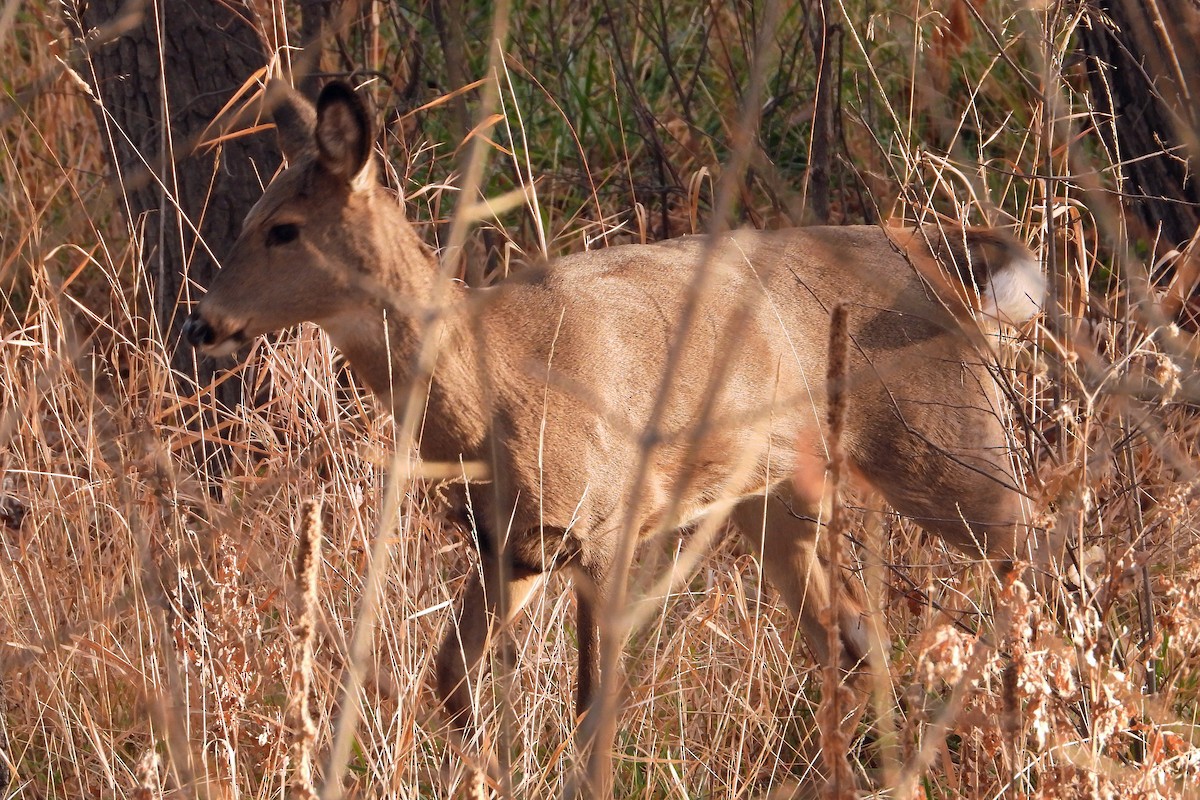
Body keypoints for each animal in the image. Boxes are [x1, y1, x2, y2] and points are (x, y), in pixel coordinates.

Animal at [184, 79, 1050, 794]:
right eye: (250, 218)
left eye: (285, 229)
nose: (204, 323)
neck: (494, 391)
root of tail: (944, 254)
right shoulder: (511, 544)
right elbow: (450, 679)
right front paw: (488, 774)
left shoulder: (606, 525)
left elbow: (592, 713)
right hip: (776, 499)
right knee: (853, 642)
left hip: (946, 440)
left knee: (1033, 546)